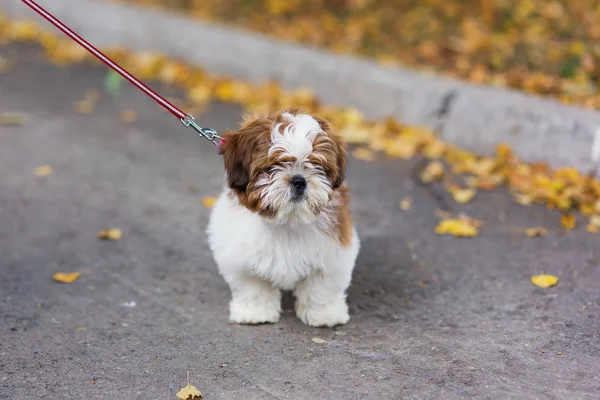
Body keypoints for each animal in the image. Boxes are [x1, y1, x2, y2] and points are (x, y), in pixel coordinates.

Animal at [206, 109, 358, 328]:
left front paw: (324, 315)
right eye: (275, 165)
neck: (287, 221)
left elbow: (322, 286)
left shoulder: (334, 251)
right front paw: (255, 312)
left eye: (316, 165)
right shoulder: (241, 256)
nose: (299, 180)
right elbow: (252, 285)